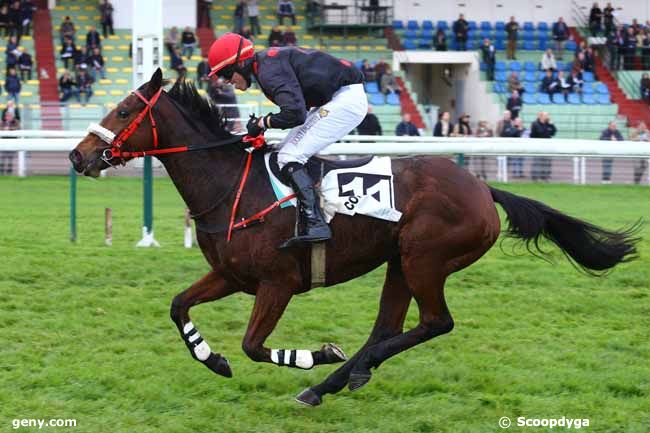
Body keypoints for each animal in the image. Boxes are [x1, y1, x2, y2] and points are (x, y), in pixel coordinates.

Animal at [68, 70, 636, 404]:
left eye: (123, 112)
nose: (77, 156)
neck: (232, 186)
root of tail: (481, 186)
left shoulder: (277, 283)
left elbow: (255, 345)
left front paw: (317, 354)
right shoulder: (230, 274)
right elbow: (178, 306)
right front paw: (215, 360)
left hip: (425, 258)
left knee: (435, 323)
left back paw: (335, 375)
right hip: (400, 261)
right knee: (388, 327)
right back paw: (336, 382)